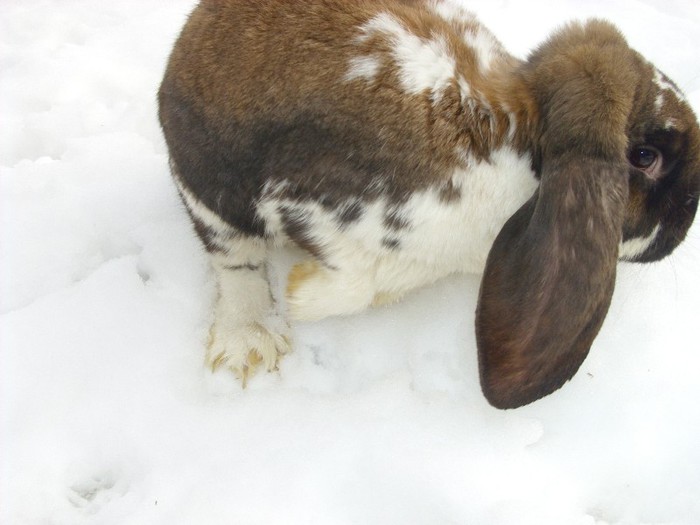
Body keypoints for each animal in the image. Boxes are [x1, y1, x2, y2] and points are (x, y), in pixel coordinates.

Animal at [159, 0, 700, 408]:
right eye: (646, 157)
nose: (683, 225)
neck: (522, 144)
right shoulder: (311, 198)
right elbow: (352, 285)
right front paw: (300, 296)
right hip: (213, 189)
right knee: (236, 263)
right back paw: (247, 344)